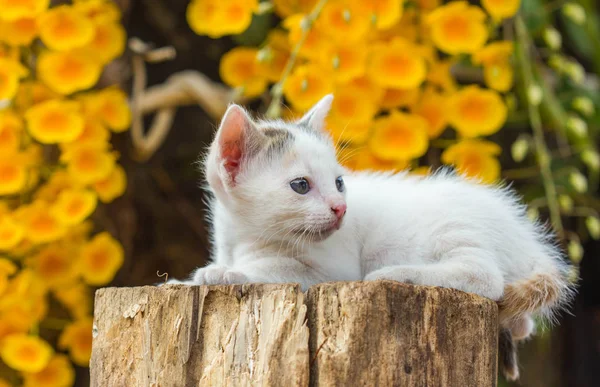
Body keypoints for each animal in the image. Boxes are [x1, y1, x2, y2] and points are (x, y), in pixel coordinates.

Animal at [172, 95, 572, 380]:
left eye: (338, 183)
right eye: (301, 186)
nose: (340, 209)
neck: (251, 237)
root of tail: (526, 239)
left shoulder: (333, 269)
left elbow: (277, 269)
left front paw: (221, 274)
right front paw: (198, 275)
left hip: (453, 228)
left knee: (485, 276)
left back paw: (399, 274)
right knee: (520, 319)